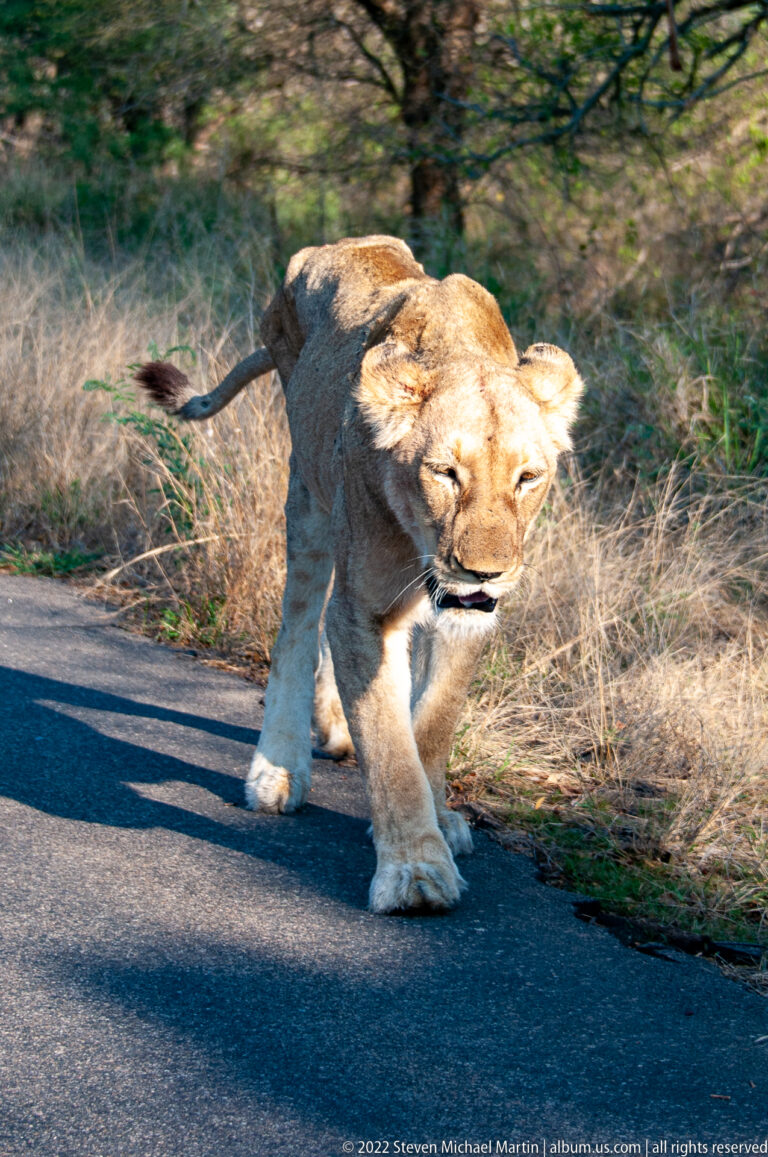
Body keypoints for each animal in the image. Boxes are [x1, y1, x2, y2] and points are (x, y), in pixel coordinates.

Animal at [135, 235, 583, 914]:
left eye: (528, 478)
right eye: (445, 473)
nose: (484, 572)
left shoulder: (467, 619)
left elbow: (432, 725)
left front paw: (439, 819)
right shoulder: (365, 605)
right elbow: (389, 744)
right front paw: (415, 871)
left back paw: (333, 729)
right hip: (310, 496)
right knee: (298, 624)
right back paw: (279, 767)